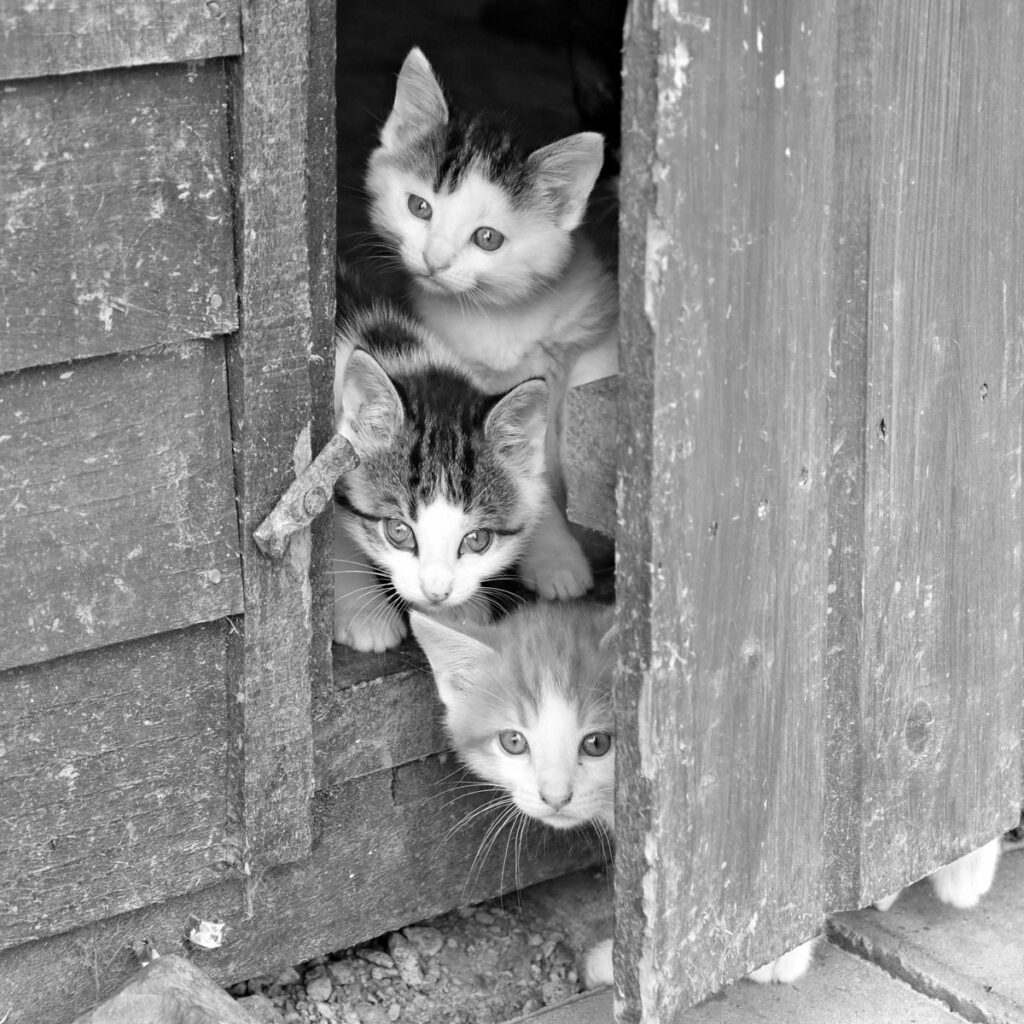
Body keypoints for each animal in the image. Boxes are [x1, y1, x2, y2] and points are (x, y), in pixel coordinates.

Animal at [366, 48, 614, 602]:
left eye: (487, 238)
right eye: (419, 207)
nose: (434, 260)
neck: (501, 315)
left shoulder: (592, 336)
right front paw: (556, 556)